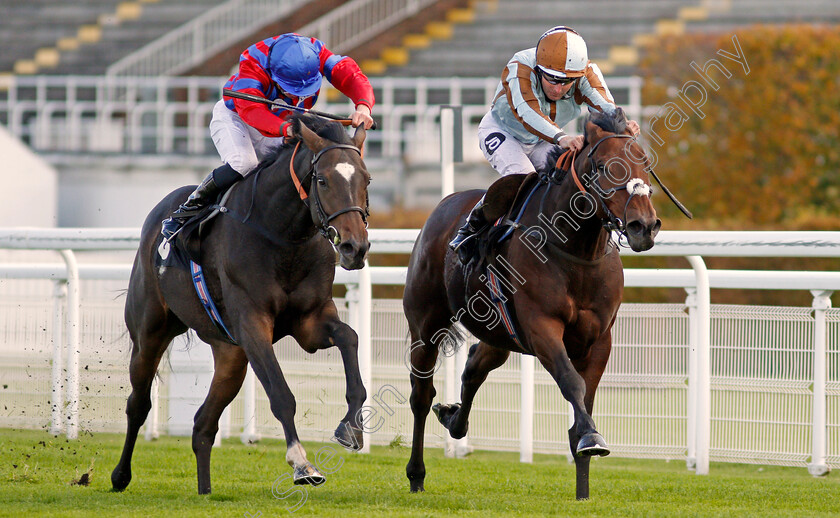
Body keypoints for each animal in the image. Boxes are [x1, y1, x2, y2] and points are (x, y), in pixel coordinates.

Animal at [111, 114, 370, 496]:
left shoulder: (311, 321)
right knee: (138, 404)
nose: (355, 247)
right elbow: (281, 394)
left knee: (203, 424)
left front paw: (351, 427)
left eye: (366, 179)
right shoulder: (251, 324)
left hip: (230, 355)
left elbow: (350, 338)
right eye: (322, 180)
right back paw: (120, 475)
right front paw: (301, 463)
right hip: (149, 334)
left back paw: (205, 491)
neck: (283, 236)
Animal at [404, 108, 660, 500]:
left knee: (474, 367)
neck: (575, 252)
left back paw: (453, 418)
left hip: (499, 333)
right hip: (426, 324)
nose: (643, 226)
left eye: (644, 163)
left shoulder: (599, 338)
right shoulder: (542, 328)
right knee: (420, 394)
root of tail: (443, 205)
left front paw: (583, 482)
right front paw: (591, 437)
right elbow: (572, 383)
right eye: (603, 166)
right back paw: (416, 474)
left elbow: (585, 400)